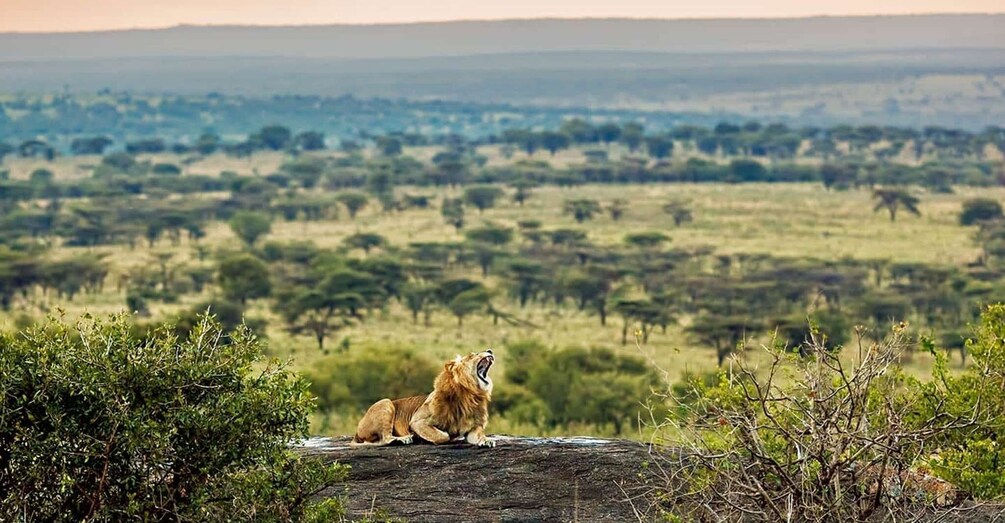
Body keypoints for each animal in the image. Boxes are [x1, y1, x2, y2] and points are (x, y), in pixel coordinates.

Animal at [351, 350, 496, 446]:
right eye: (473, 354)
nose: (489, 350)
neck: (469, 395)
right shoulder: (417, 421)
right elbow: (443, 436)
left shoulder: (473, 427)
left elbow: (479, 434)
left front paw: (487, 440)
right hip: (385, 403)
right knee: (385, 439)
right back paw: (403, 439)